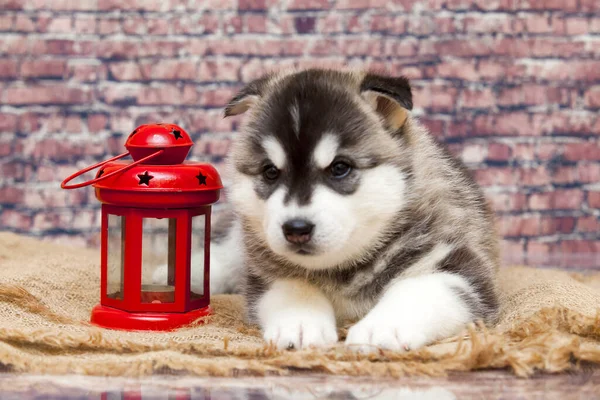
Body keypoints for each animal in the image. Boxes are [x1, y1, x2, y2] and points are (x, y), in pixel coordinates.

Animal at [154, 69, 496, 354]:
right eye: (270, 172)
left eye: (340, 168)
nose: (296, 229)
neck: (343, 268)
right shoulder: (264, 272)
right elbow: (292, 285)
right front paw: (300, 322)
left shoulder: (459, 265)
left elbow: (419, 289)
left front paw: (382, 327)